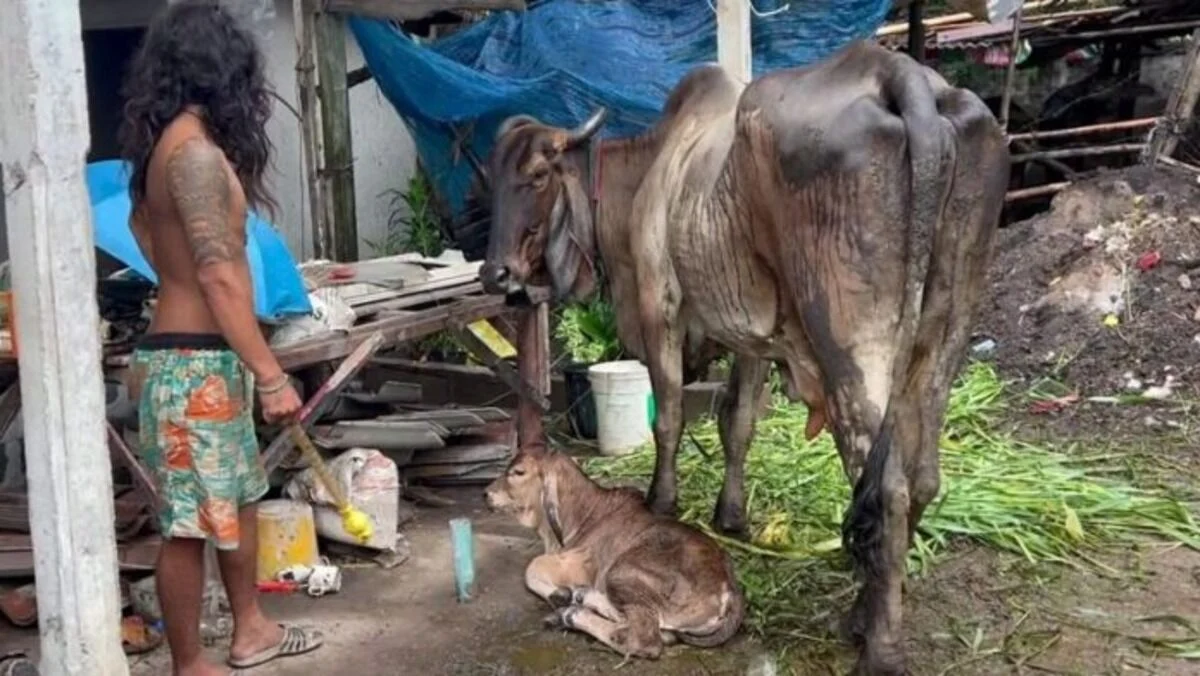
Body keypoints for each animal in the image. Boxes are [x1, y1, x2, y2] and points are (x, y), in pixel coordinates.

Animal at [482, 451, 744, 657]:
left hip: (622, 571)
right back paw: (581, 599)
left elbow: (532, 567)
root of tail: (730, 589)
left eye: (518, 472)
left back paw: (571, 612)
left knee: (644, 639)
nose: (485, 494)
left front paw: (560, 595)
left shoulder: (582, 560)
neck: (582, 515)